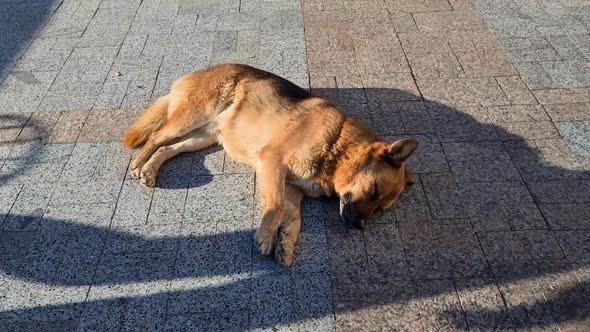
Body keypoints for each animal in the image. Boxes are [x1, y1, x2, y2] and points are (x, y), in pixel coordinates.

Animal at [123, 64, 420, 268]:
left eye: (380, 208)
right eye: (374, 190)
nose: (358, 227)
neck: (337, 145)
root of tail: (204, 69)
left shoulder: (294, 190)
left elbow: (294, 218)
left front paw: (286, 241)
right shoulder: (272, 162)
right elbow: (275, 206)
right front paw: (267, 235)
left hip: (203, 137)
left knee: (167, 148)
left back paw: (150, 168)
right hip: (194, 116)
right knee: (156, 136)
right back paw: (139, 163)